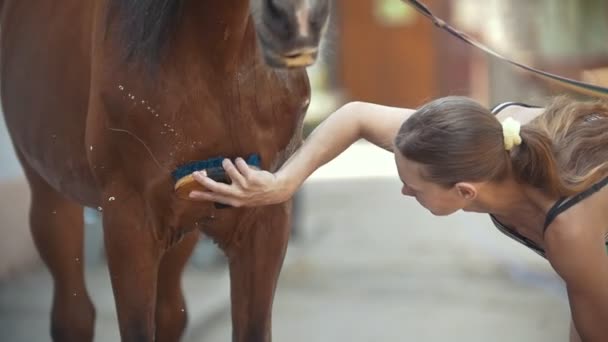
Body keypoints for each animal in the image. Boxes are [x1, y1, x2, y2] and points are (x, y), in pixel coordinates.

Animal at [1, 0, 328, 342]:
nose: (298, 19)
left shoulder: (265, 219)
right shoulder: (129, 222)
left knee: (169, 313)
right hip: (50, 192)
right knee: (74, 315)